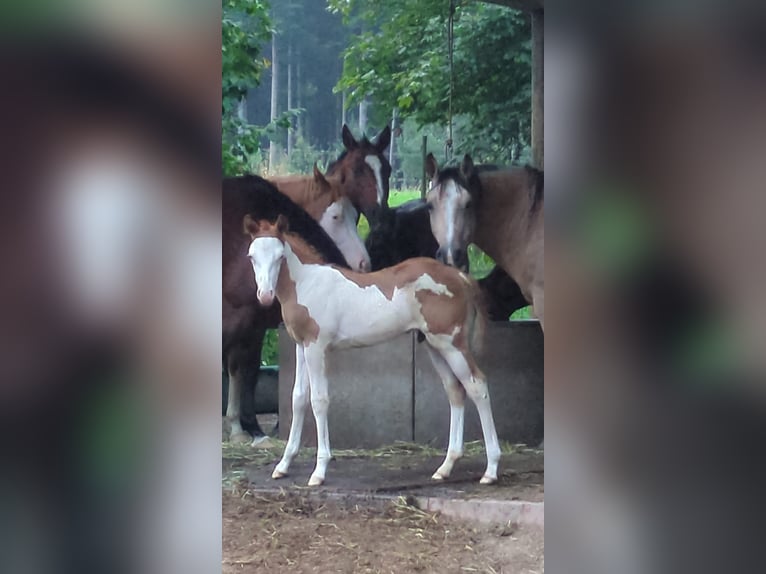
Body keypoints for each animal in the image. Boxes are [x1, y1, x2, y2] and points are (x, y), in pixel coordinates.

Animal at [245, 215, 501, 486]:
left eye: (279, 256)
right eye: (251, 256)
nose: (265, 295)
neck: (307, 283)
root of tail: (460, 277)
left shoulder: (317, 346)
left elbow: (319, 400)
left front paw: (319, 470)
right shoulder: (301, 346)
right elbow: (298, 398)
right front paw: (283, 465)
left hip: (452, 344)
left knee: (477, 385)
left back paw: (491, 469)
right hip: (436, 346)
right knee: (455, 390)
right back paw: (446, 467)